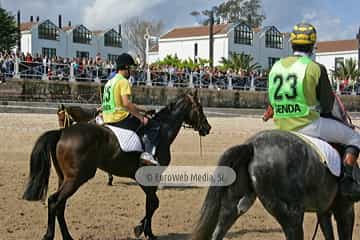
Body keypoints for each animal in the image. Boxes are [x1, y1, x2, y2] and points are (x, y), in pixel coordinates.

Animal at [22, 90, 211, 240]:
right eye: (200, 108)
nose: (207, 128)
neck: (161, 132)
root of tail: (62, 133)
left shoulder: (146, 179)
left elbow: (151, 203)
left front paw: (146, 230)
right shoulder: (149, 177)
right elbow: (153, 203)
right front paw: (143, 230)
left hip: (65, 178)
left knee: (60, 205)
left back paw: (68, 237)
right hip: (76, 178)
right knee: (54, 201)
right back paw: (50, 235)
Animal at [193, 129, 356, 240]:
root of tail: (251, 145)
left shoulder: (324, 210)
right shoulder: (345, 208)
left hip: (232, 204)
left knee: (220, 227)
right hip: (291, 213)